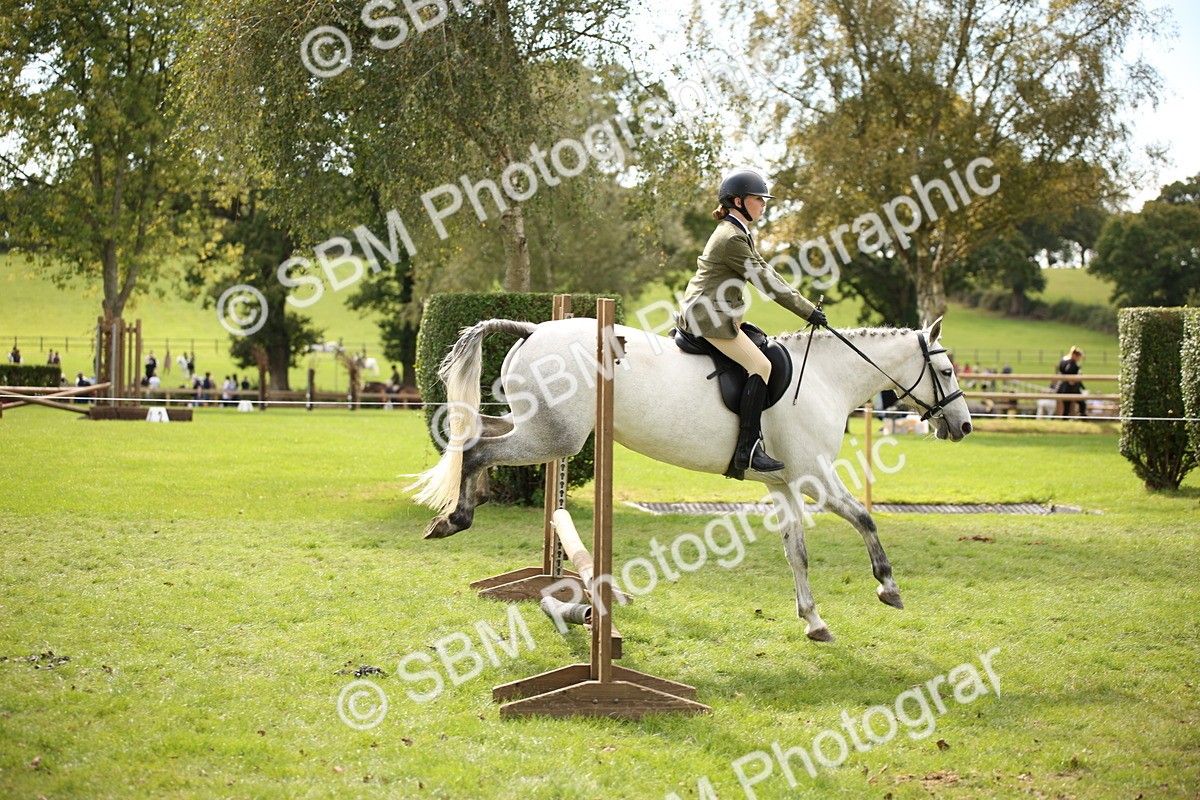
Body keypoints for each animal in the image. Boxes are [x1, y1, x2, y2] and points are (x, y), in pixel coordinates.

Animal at [409, 317, 972, 642]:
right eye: (946, 371)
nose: (963, 426)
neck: (824, 379)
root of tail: (532, 330)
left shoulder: (784, 485)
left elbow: (797, 552)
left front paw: (814, 621)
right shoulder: (815, 478)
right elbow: (863, 518)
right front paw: (888, 587)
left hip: (538, 426)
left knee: (476, 434)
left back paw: (461, 507)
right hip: (557, 438)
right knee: (479, 448)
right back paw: (454, 519)